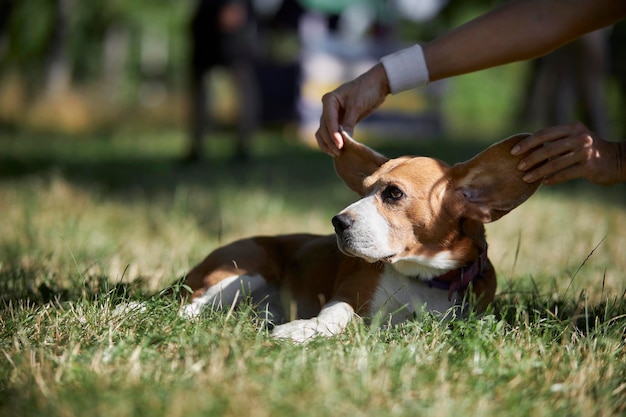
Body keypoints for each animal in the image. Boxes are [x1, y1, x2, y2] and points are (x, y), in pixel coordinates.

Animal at [178, 133, 540, 342]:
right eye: (364, 190)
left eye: (393, 193)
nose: (337, 222)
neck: (423, 278)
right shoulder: (347, 296)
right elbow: (336, 316)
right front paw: (303, 330)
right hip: (245, 270)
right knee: (187, 307)